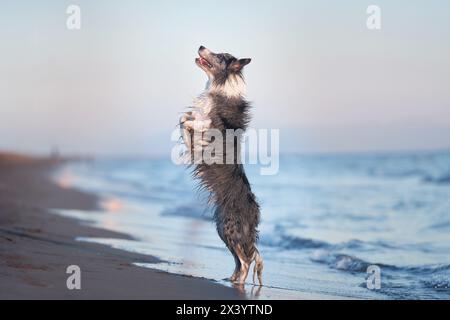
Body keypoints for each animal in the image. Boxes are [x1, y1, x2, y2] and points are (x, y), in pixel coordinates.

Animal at [179, 45, 264, 284]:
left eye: (219, 56)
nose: (200, 45)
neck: (219, 87)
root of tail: (255, 211)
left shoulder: (208, 125)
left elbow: (190, 122)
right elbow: (183, 119)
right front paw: (187, 139)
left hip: (229, 227)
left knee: (246, 260)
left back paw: (238, 281)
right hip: (221, 227)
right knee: (240, 258)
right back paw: (230, 280)